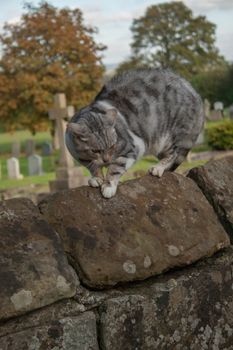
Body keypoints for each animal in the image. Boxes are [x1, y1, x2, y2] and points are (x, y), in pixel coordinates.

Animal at [65, 67, 204, 198]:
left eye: (112, 146)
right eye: (95, 151)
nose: (106, 160)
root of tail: (195, 93)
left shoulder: (132, 148)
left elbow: (115, 168)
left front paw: (108, 186)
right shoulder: (79, 155)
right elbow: (93, 167)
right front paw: (96, 178)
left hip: (170, 137)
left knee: (173, 154)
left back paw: (158, 168)